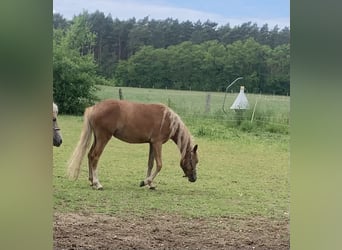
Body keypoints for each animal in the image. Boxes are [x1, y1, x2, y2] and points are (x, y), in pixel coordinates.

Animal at [67, 99, 198, 189]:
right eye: (194, 161)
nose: (194, 178)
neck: (169, 120)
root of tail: (94, 108)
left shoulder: (152, 144)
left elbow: (150, 164)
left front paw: (150, 183)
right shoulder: (157, 143)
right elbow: (159, 164)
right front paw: (146, 182)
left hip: (97, 138)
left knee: (89, 155)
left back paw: (91, 180)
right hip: (103, 138)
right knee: (95, 156)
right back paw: (97, 183)